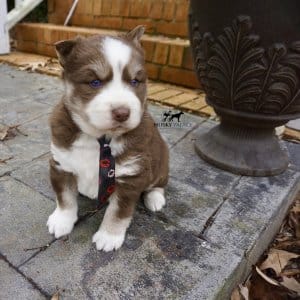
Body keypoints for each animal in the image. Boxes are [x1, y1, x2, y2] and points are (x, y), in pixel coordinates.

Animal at [46, 25, 169, 252]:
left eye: (135, 81)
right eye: (94, 82)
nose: (122, 113)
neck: (100, 139)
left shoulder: (130, 177)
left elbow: (118, 213)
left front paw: (109, 237)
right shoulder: (61, 165)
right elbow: (64, 198)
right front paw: (61, 221)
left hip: (161, 163)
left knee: (158, 184)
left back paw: (155, 199)